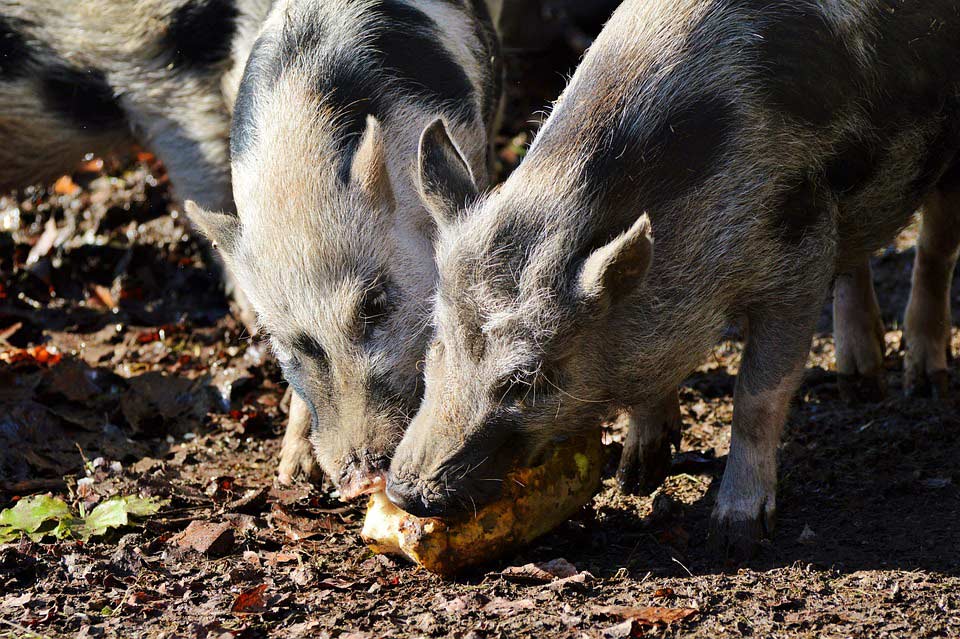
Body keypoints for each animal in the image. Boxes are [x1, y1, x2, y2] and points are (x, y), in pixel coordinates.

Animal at [388, 0, 960, 560]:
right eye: (438, 345)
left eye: (526, 381)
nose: (403, 492)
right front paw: (635, 479)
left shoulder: (802, 253)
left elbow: (758, 395)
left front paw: (735, 537)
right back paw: (861, 385)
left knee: (935, 249)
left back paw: (926, 385)